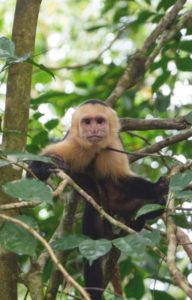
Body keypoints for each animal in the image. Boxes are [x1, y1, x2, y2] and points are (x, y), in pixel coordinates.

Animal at [27, 99, 167, 298]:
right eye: (87, 122)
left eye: (99, 121)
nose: (93, 129)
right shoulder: (73, 142)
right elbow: (34, 167)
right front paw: (41, 168)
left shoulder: (113, 146)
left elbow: (122, 179)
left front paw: (158, 187)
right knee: (93, 243)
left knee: (155, 205)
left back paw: (139, 220)